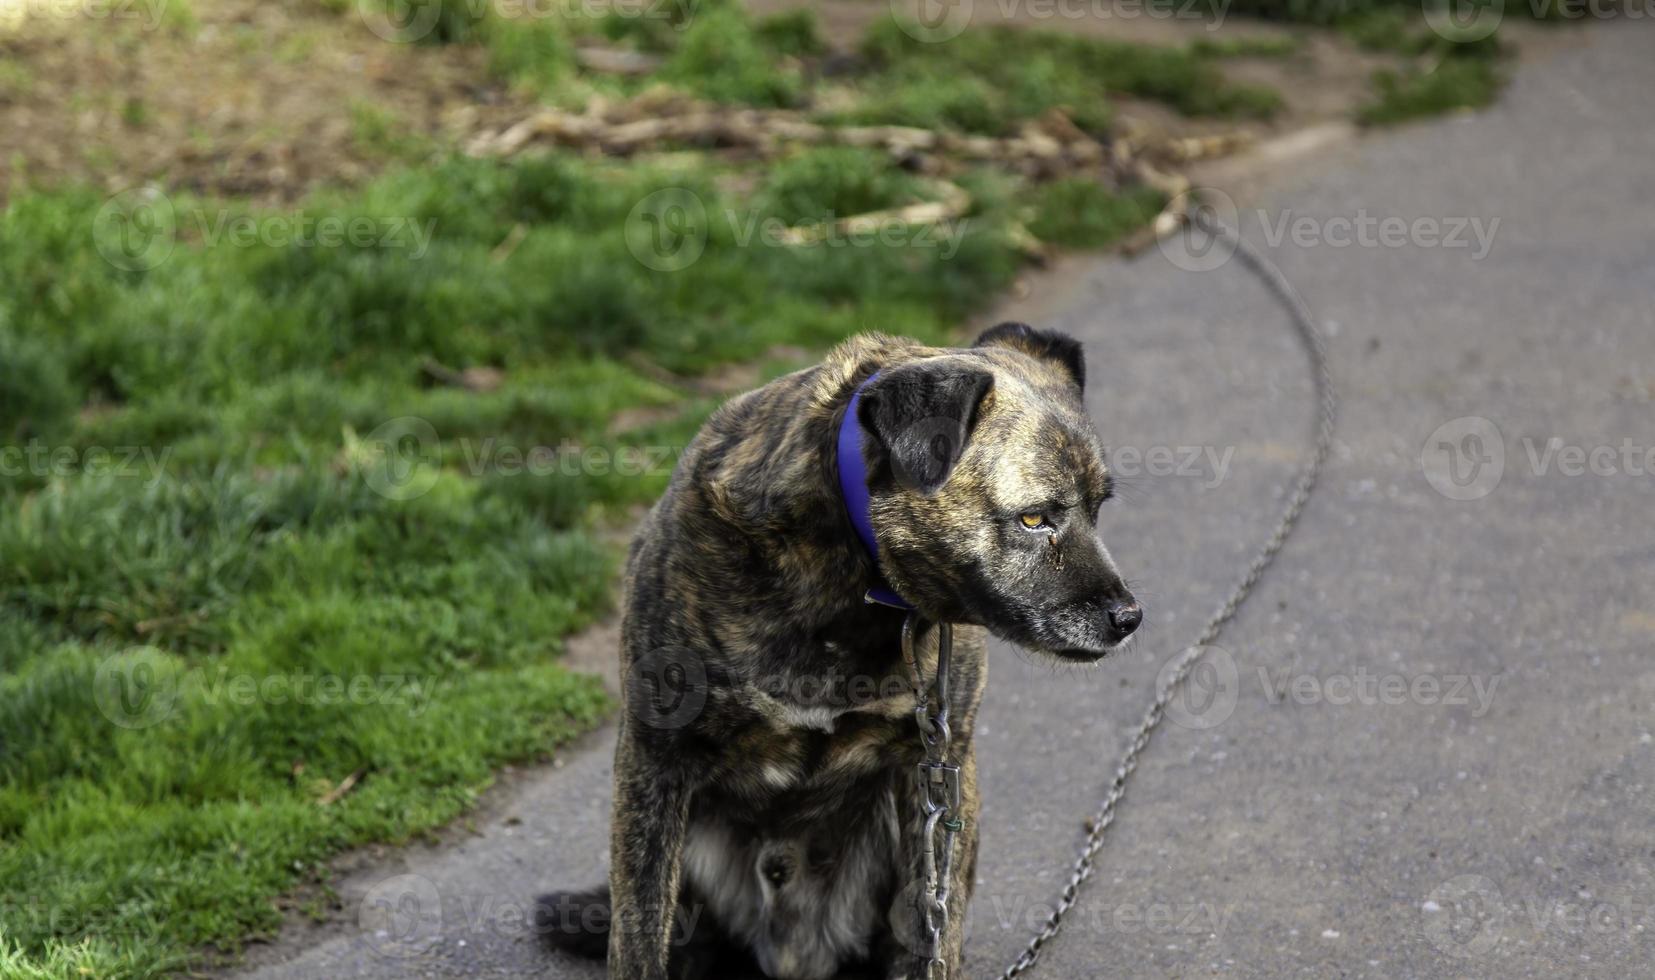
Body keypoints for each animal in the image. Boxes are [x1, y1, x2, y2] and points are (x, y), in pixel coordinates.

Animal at [539, 326, 1138, 973]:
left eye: (1097, 509)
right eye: (1034, 518)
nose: (1129, 618)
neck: (851, 582)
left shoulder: (937, 765)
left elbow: (937, 931)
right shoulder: (655, 761)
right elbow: (638, 938)